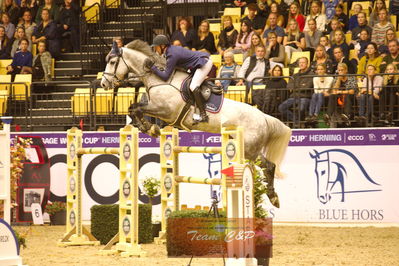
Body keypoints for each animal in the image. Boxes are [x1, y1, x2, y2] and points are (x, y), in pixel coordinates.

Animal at [101, 40, 292, 208]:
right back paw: (269, 197)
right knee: (266, 166)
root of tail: (264, 117)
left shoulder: (165, 110)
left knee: (266, 166)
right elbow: (133, 109)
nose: (103, 83)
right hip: (246, 148)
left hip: (250, 151)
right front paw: (146, 128)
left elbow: (137, 109)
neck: (159, 80)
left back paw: (270, 198)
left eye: (112, 62)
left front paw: (150, 128)